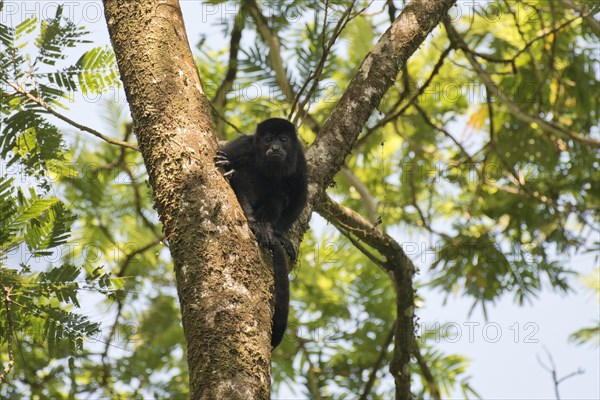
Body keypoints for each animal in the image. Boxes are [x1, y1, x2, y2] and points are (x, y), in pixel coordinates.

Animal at [214, 117, 308, 348]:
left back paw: (266, 228)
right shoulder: (244, 145)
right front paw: (227, 166)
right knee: (241, 175)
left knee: (279, 197)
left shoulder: (300, 162)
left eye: (283, 140)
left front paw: (280, 235)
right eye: (267, 139)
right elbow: (229, 157)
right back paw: (252, 220)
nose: (274, 148)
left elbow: (299, 197)